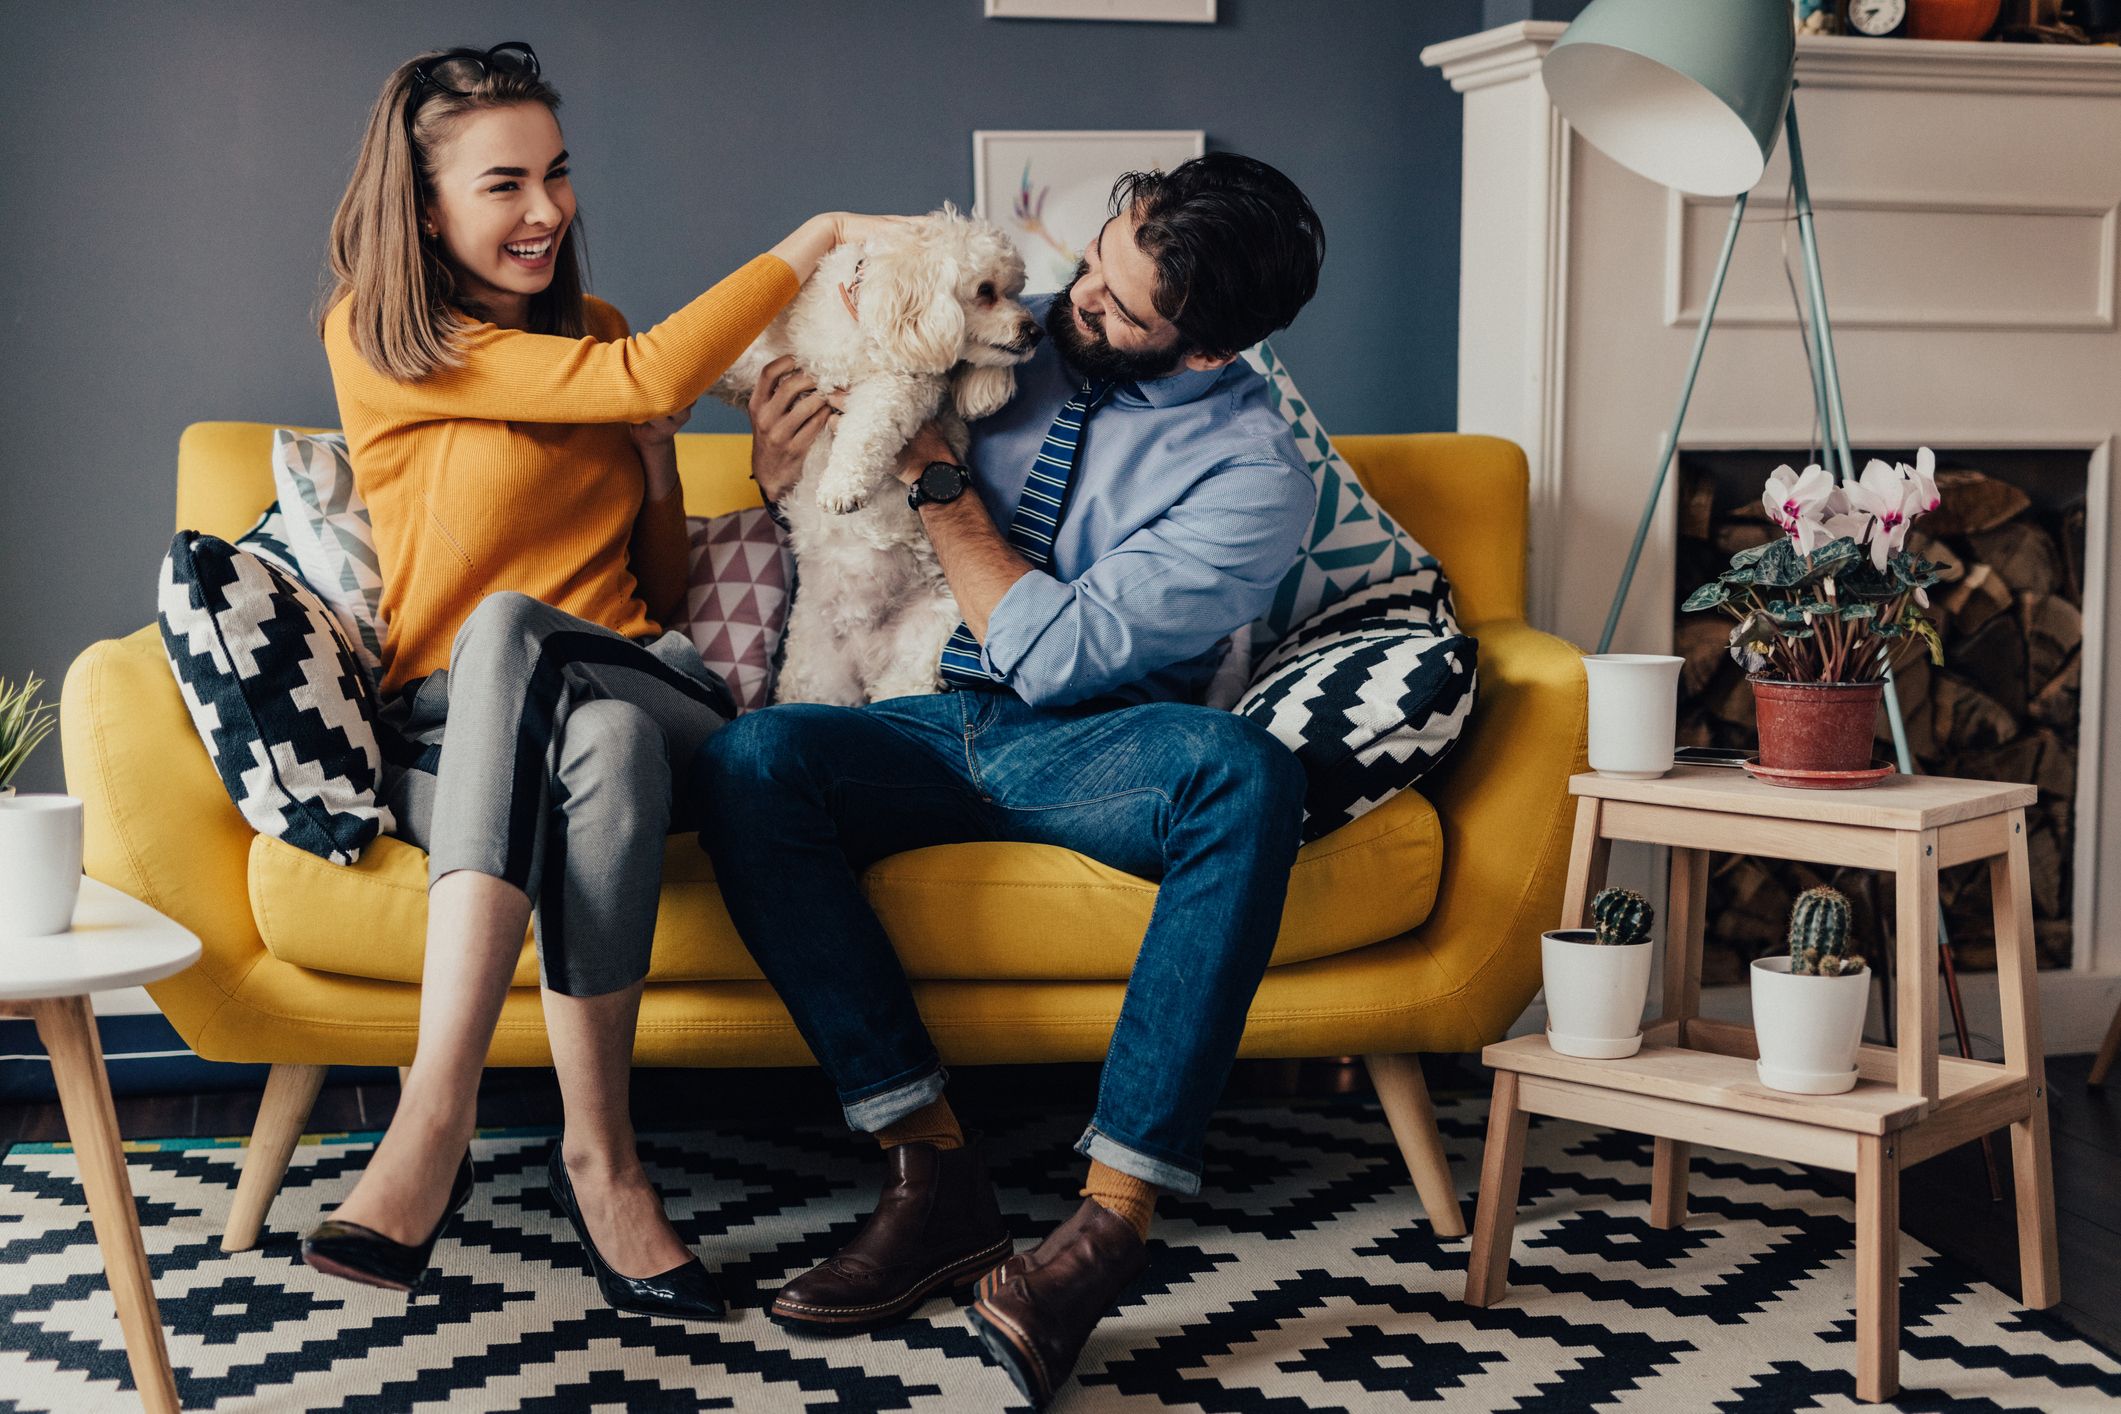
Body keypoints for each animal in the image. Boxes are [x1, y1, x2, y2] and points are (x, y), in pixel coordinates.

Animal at [716, 205, 1039, 708]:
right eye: (987, 291)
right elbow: (739, 362)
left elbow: (869, 423)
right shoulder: (780, 359)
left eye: (1016, 291)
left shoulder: (906, 385)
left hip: (927, 640)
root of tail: (865, 659)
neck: (868, 324)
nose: (1035, 330)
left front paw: (842, 484)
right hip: (815, 676)